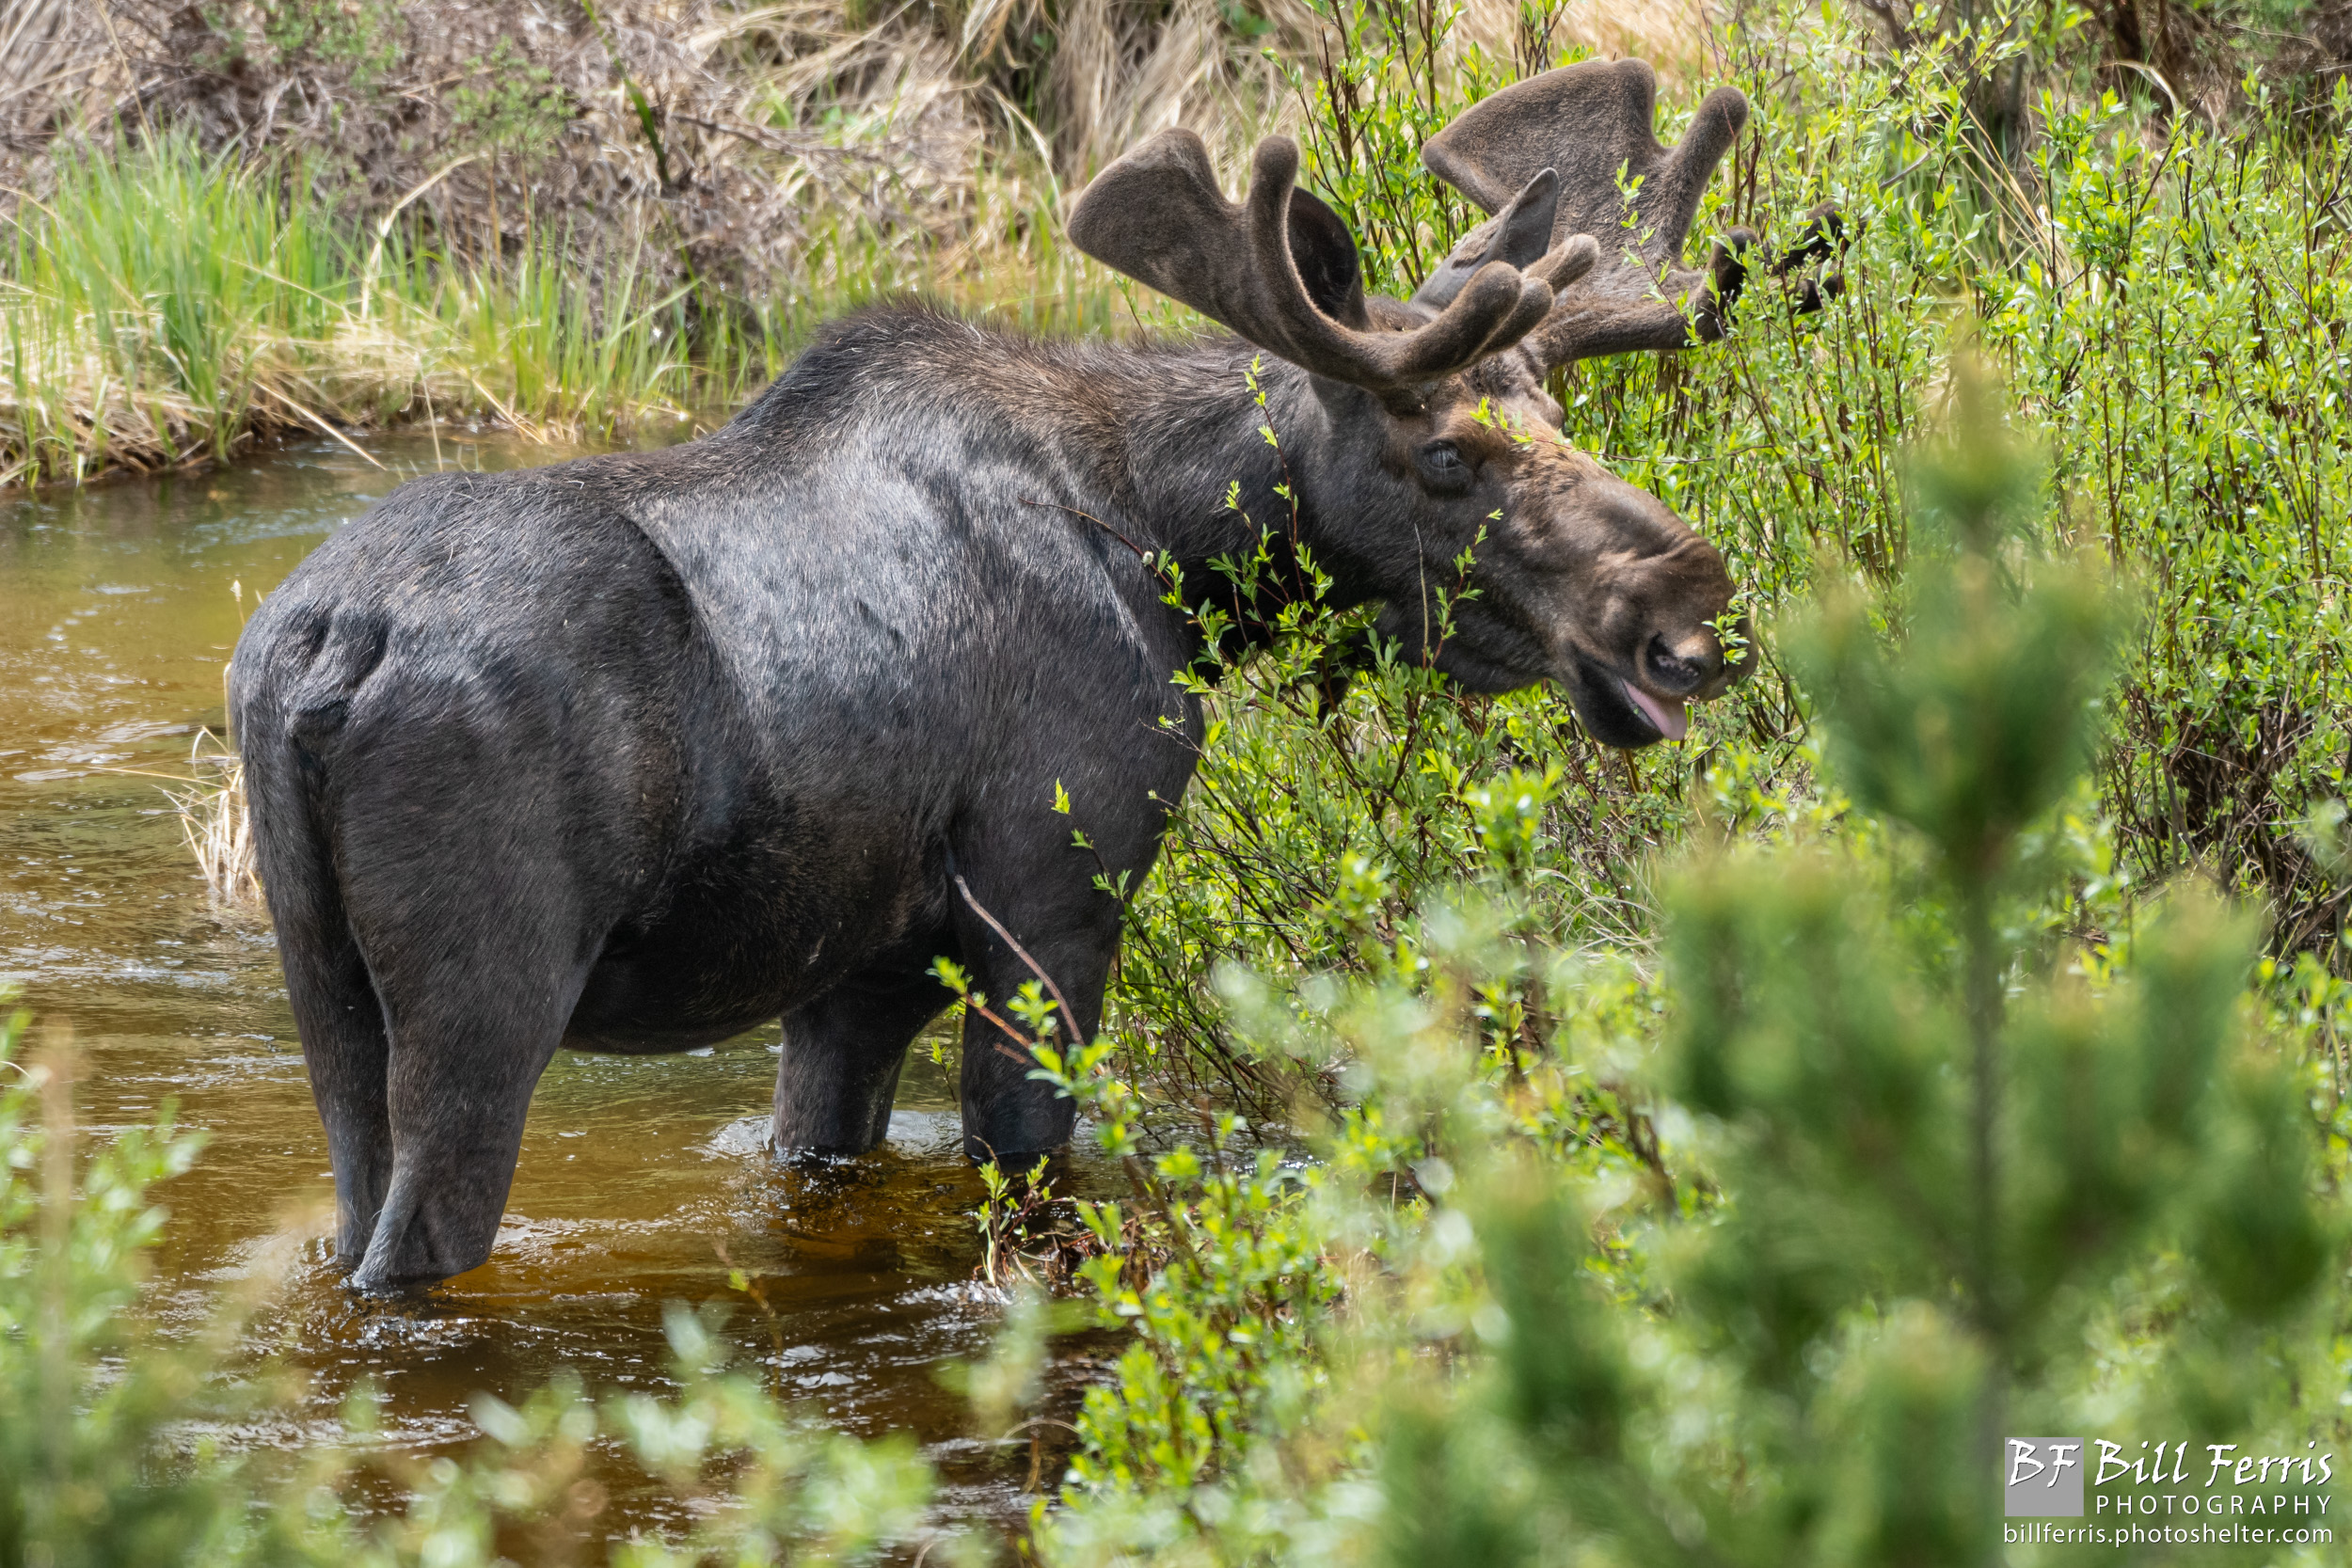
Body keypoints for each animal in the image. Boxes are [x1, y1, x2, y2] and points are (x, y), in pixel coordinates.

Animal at [232, 58, 1819, 1291]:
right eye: (1443, 455)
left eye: (1554, 407)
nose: (1688, 611)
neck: (1182, 556)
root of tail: (321, 648)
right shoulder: (1051, 906)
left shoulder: (859, 979)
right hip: (489, 992)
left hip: (325, 991)